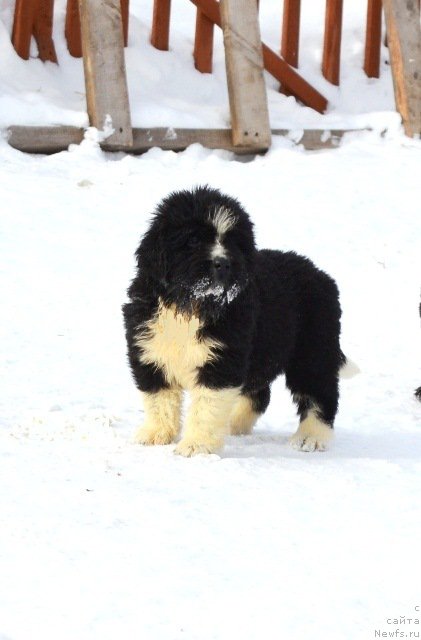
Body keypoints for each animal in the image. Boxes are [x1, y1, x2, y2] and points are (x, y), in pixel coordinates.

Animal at [123, 184, 346, 456]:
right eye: (194, 240)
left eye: (232, 243)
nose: (223, 263)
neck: (190, 306)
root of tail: (321, 275)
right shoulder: (149, 349)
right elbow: (158, 398)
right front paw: (155, 434)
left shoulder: (222, 361)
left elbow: (206, 407)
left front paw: (196, 446)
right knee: (260, 394)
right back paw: (234, 423)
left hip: (313, 349)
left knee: (319, 392)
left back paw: (311, 437)